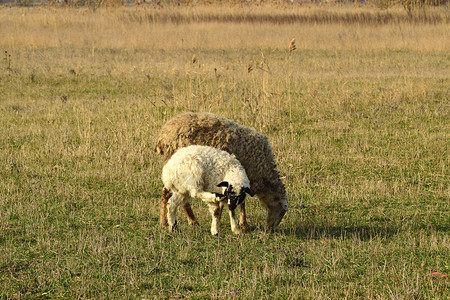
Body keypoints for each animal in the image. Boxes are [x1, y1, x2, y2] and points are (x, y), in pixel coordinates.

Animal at [155, 112, 288, 230]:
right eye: (282, 211)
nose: (270, 228)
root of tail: (163, 136)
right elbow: (240, 203)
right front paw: (242, 224)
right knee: (168, 193)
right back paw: (169, 223)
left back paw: (186, 221)